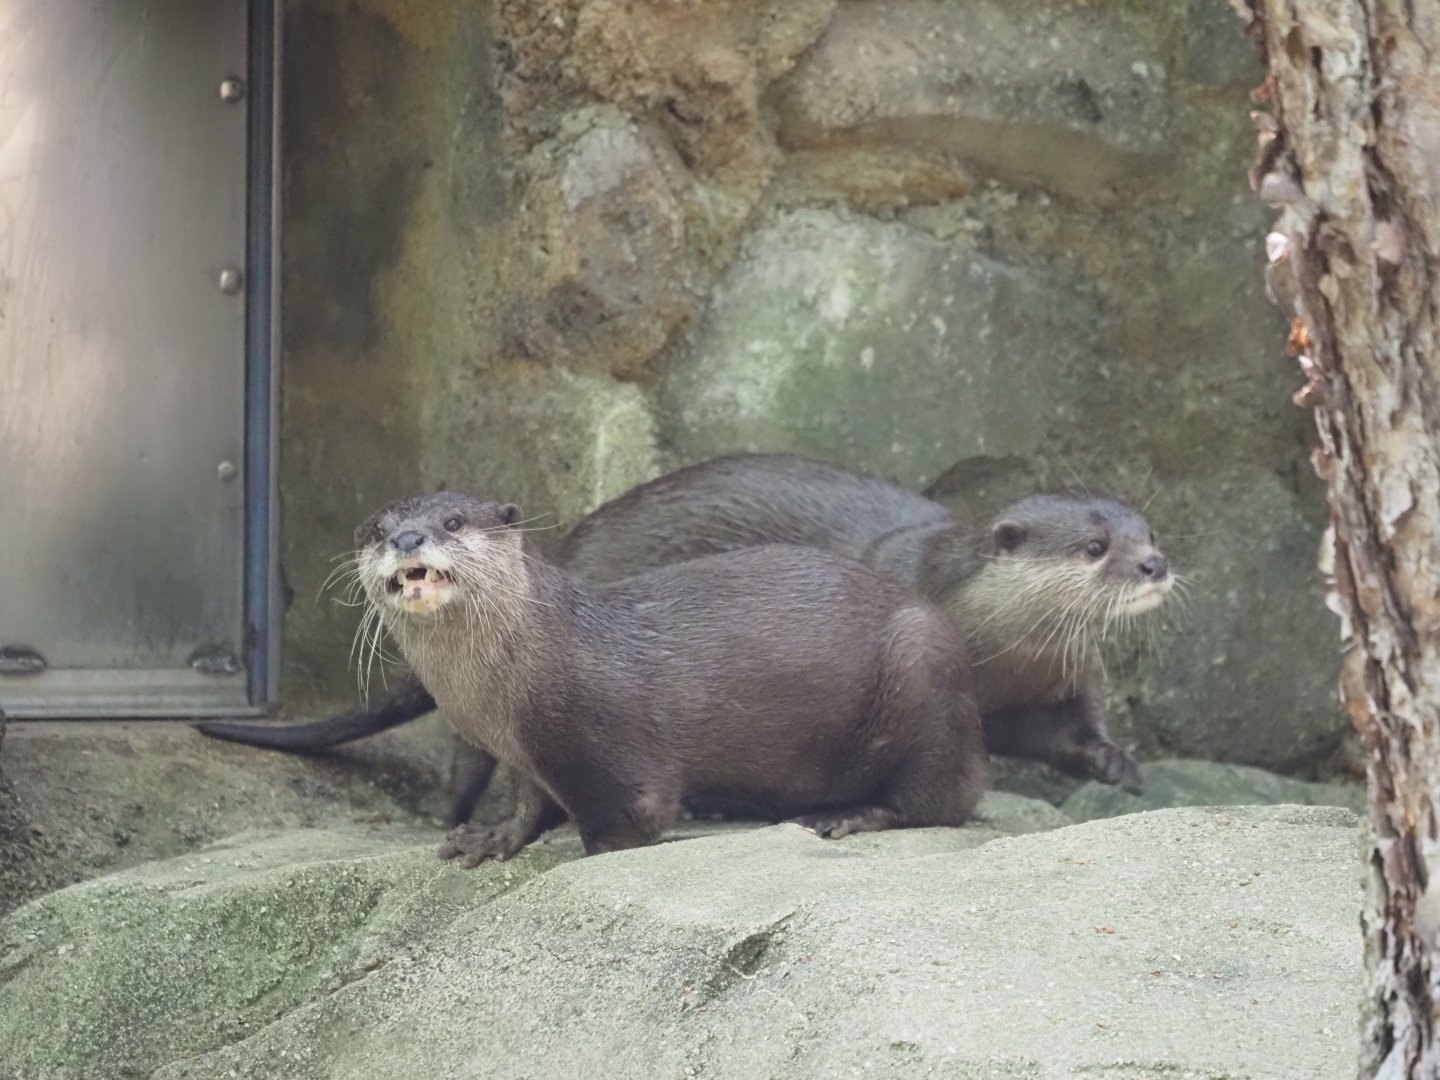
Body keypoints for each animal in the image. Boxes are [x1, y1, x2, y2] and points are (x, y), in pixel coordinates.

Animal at [199, 453, 1172, 822]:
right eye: (1094, 547)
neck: (998, 648)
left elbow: (1070, 729)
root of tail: (570, 546)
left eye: (1142, 530)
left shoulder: (1050, 686)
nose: (1156, 564)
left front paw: (1118, 764)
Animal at [350, 490, 986, 862]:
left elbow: (630, 820)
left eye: (453, 521)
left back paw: (841, 816)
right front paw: (490, 839)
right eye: (376, 528)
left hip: (922, 671)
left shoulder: (603, 750)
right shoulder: (523, 753)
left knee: (936, 802)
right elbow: (529, 806)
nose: (407, 538)